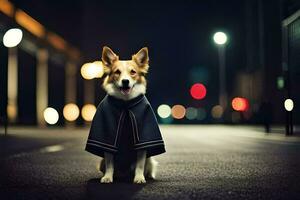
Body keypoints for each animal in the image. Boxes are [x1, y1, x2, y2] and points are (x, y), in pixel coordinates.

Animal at [85, 46, 165, 184]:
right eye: (117, 72)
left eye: (133, 72)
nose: (125, 81)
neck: (125, 104)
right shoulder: (109, 139)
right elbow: (110, 163)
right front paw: (108, 177)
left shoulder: (142, 141)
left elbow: (139, 164)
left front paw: (139, 178)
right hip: (101, 163)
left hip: (150, 161)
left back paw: (148, 176)